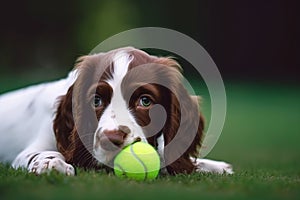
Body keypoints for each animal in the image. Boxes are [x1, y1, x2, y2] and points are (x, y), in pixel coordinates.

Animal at [0, 46, 232, 175]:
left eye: (145, 101)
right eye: (96, 100)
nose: (111, 139)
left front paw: (215, 166)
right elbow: (42, 153)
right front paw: (51, 164)